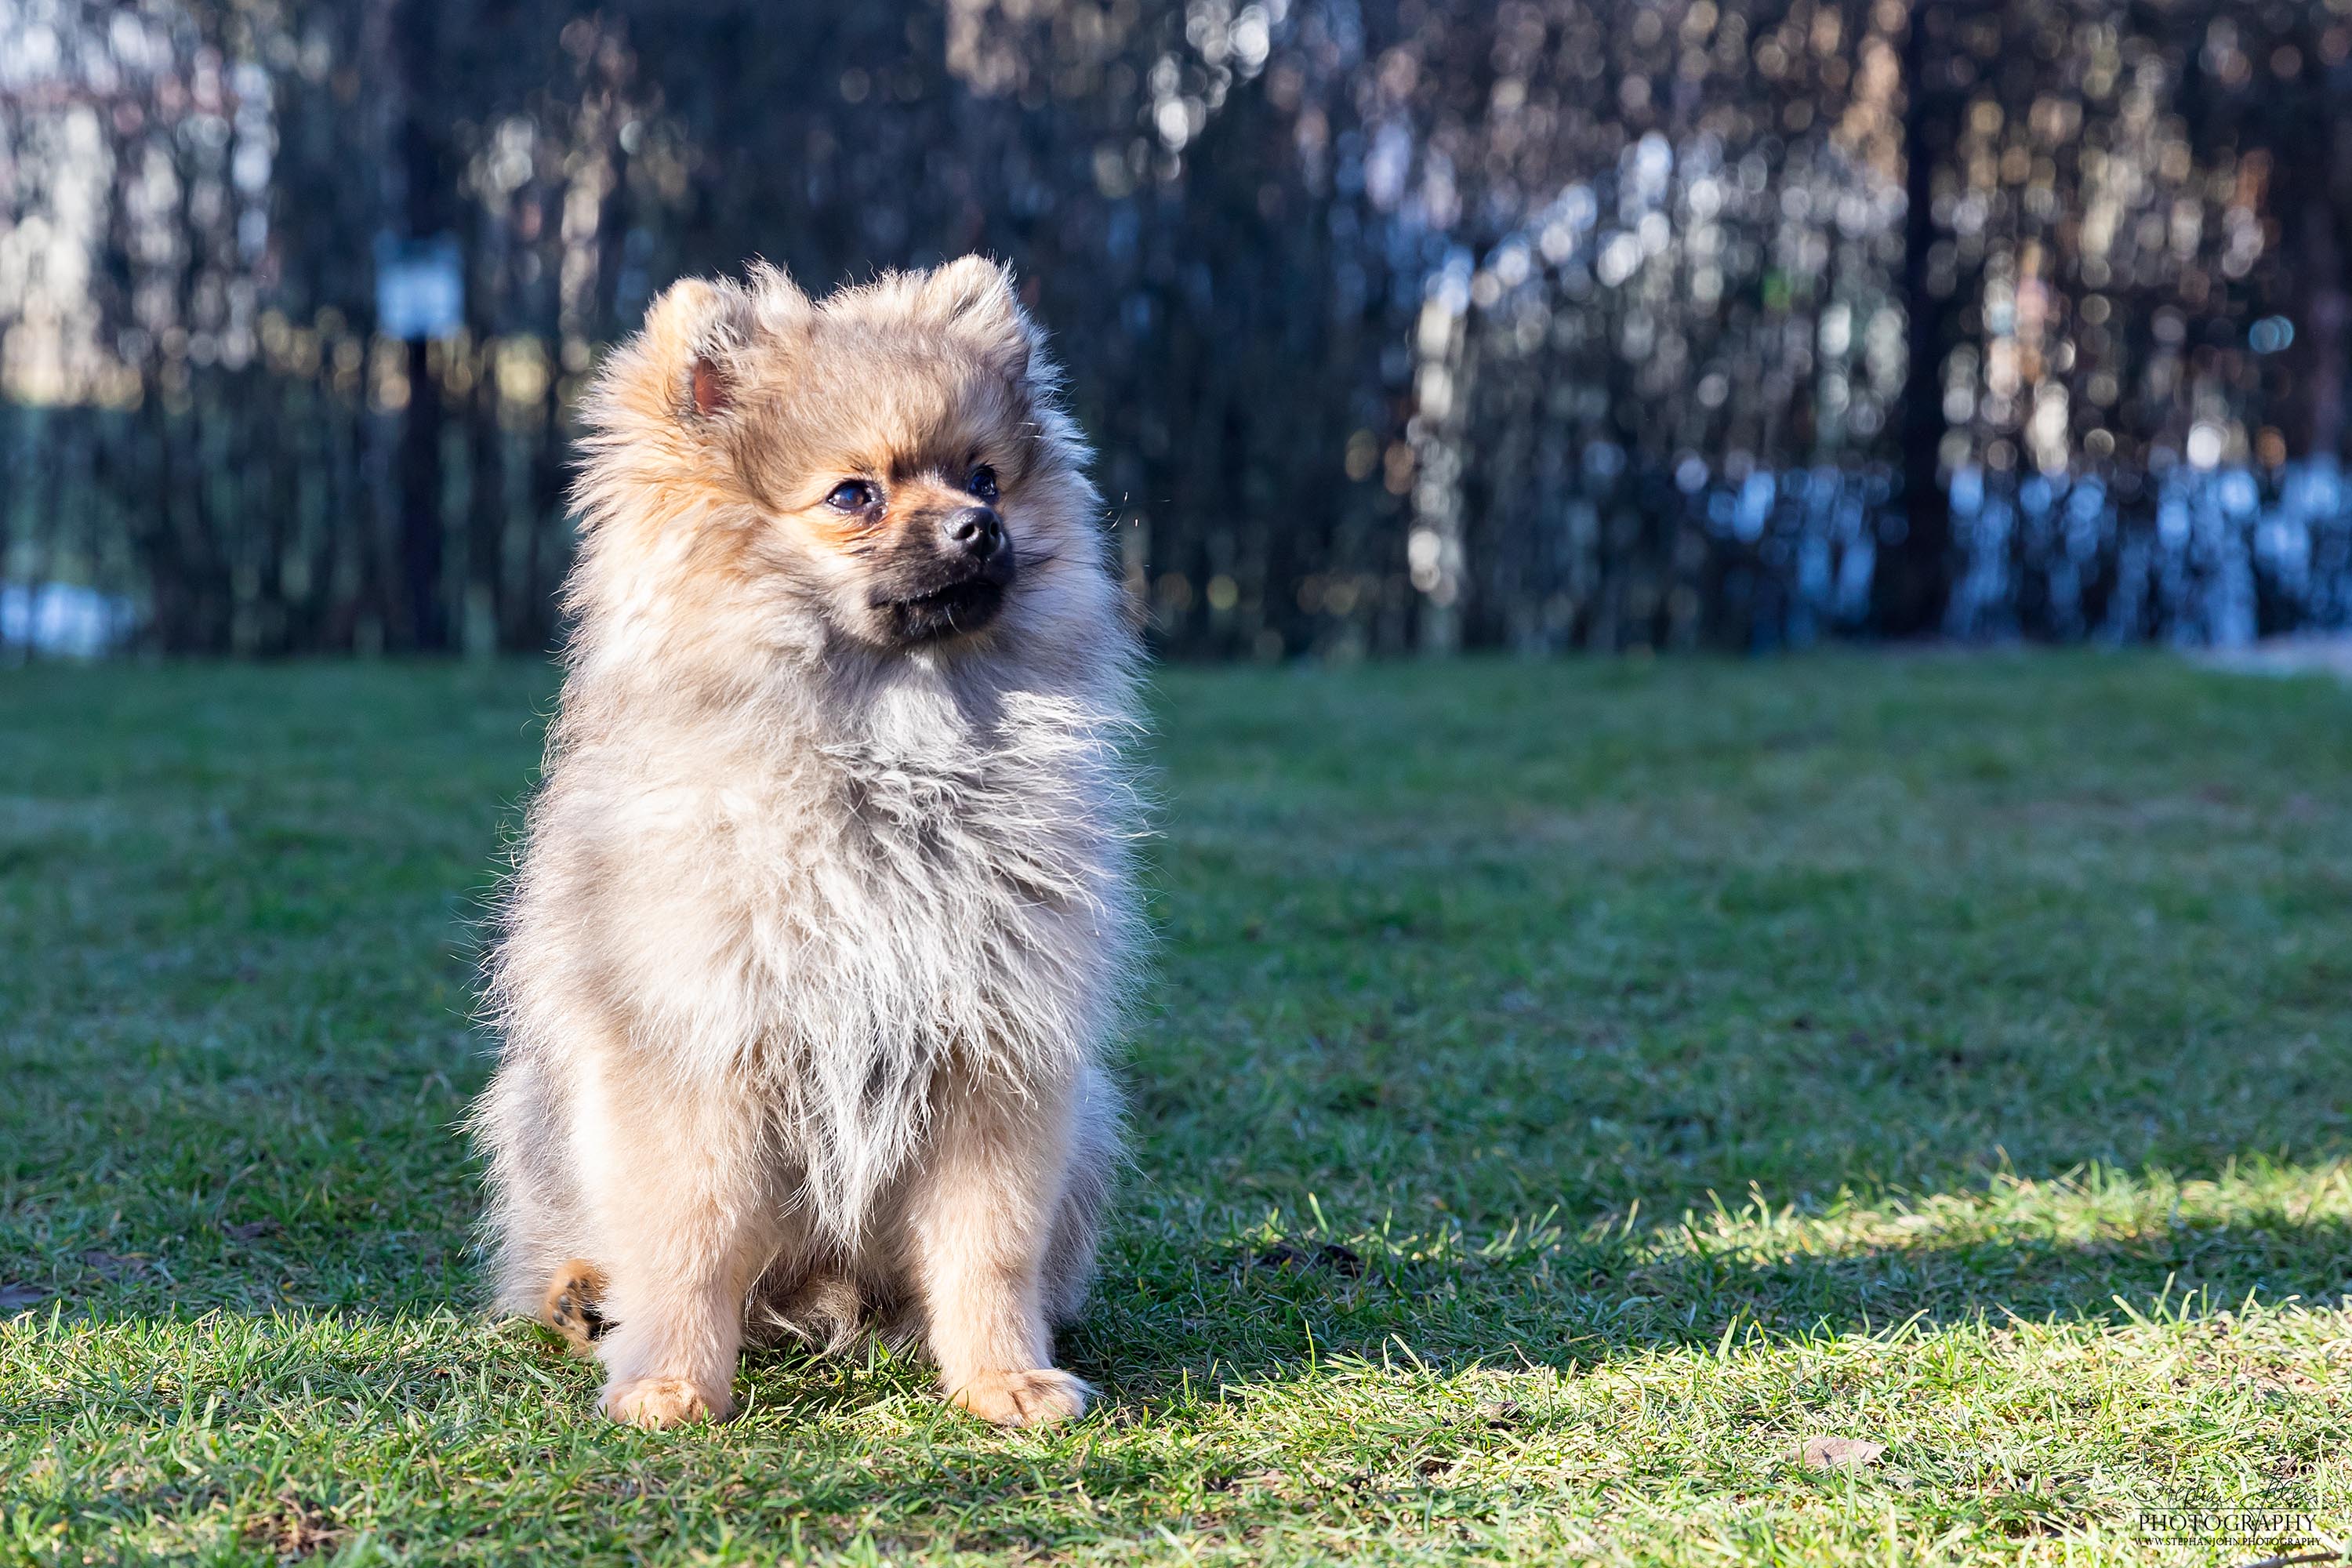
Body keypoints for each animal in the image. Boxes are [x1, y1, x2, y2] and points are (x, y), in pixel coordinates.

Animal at [473, 260, 1143, 1439]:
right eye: (853, 495)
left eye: (985, 476)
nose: (979, 528)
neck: (888, 755)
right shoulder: (698, 1055)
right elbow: (689, 1242)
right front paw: (672, 1386)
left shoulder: (995, 1056)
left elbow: (990, 1245)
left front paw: (1004, 1379)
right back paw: (582, 1296)